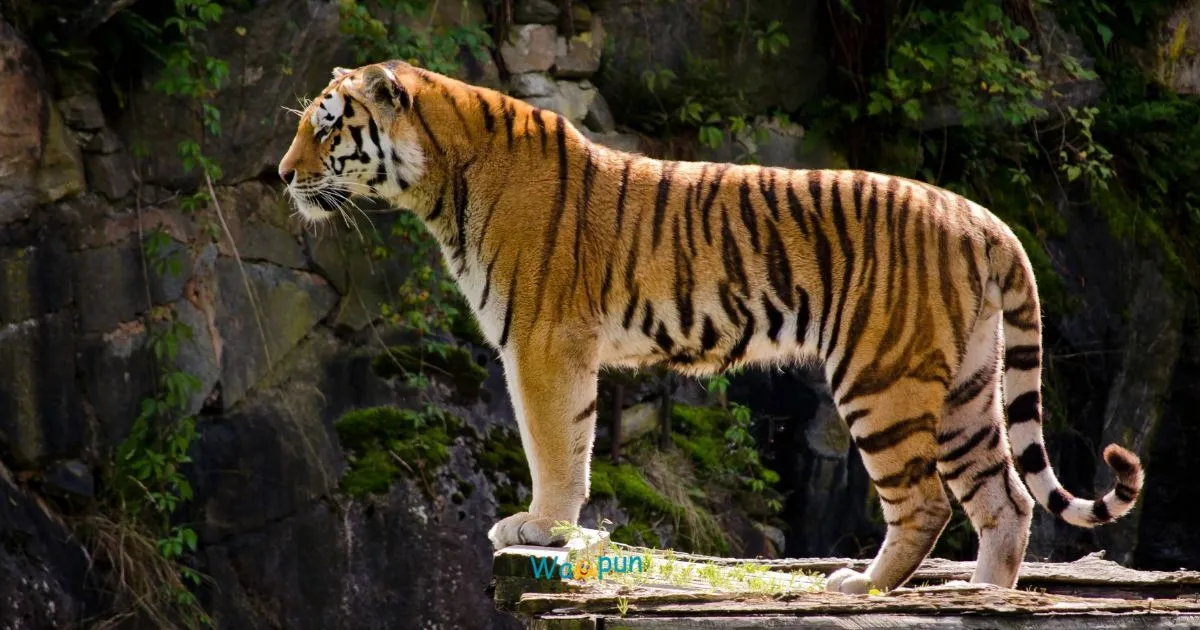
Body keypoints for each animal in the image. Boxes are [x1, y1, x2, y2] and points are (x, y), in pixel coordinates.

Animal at [277, 61, 1145, 594]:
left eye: (326, 128)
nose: (282, 176)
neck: (440, 179)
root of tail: (981, 217)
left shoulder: (543, 342)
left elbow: (553, 443)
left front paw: (541, 526)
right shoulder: (557, 347)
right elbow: (574, 440)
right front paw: (554, 524)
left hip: (883, 378)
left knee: (929, 502)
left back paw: (863, 584)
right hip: (966, 384)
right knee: (1007, 499)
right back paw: (984, 593)